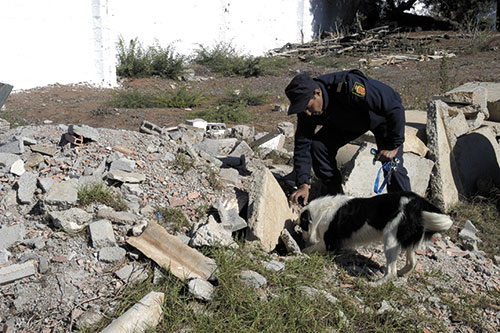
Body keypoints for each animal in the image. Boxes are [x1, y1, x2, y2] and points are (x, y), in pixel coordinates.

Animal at [300, 192, 454, 282]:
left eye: (301, 225)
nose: (302, 238)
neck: (322, 210)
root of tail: (418, 203)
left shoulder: (328, 243)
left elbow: (309, 249)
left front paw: (301, 252)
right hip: (406, 238)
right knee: (411, 263)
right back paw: (401, 272)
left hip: (390, 240)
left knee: (391, 272)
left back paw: (375, 284)